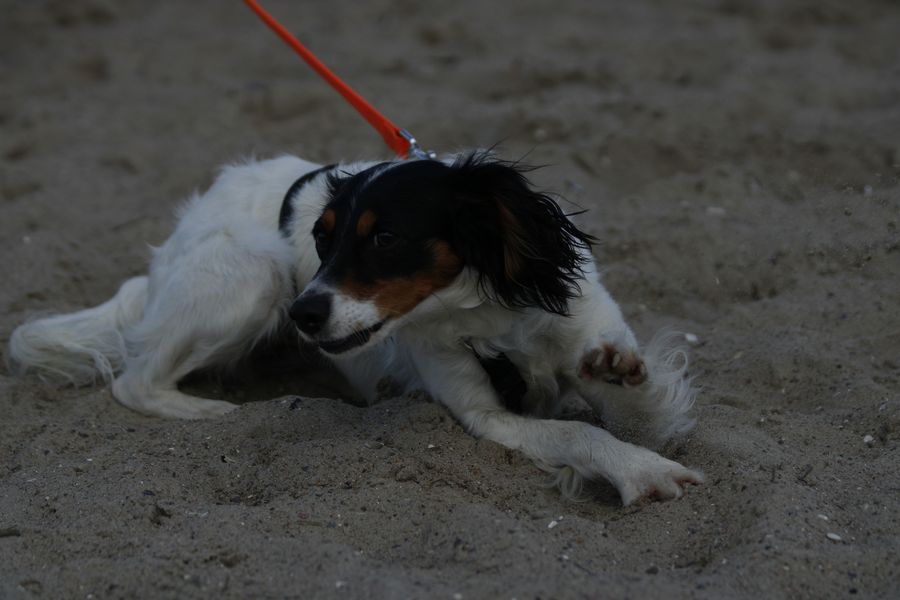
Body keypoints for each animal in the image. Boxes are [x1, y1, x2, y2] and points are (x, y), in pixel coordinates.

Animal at [8, 151, 702, 505]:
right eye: (322, 238)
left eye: (384, 237)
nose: (303, 314)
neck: (489, 311)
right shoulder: (487, 417)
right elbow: (578, 433)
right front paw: (639, 471)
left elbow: (635, 403)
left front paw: (630, 413)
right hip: (255, 273)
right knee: (134, 381)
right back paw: (210, 412)